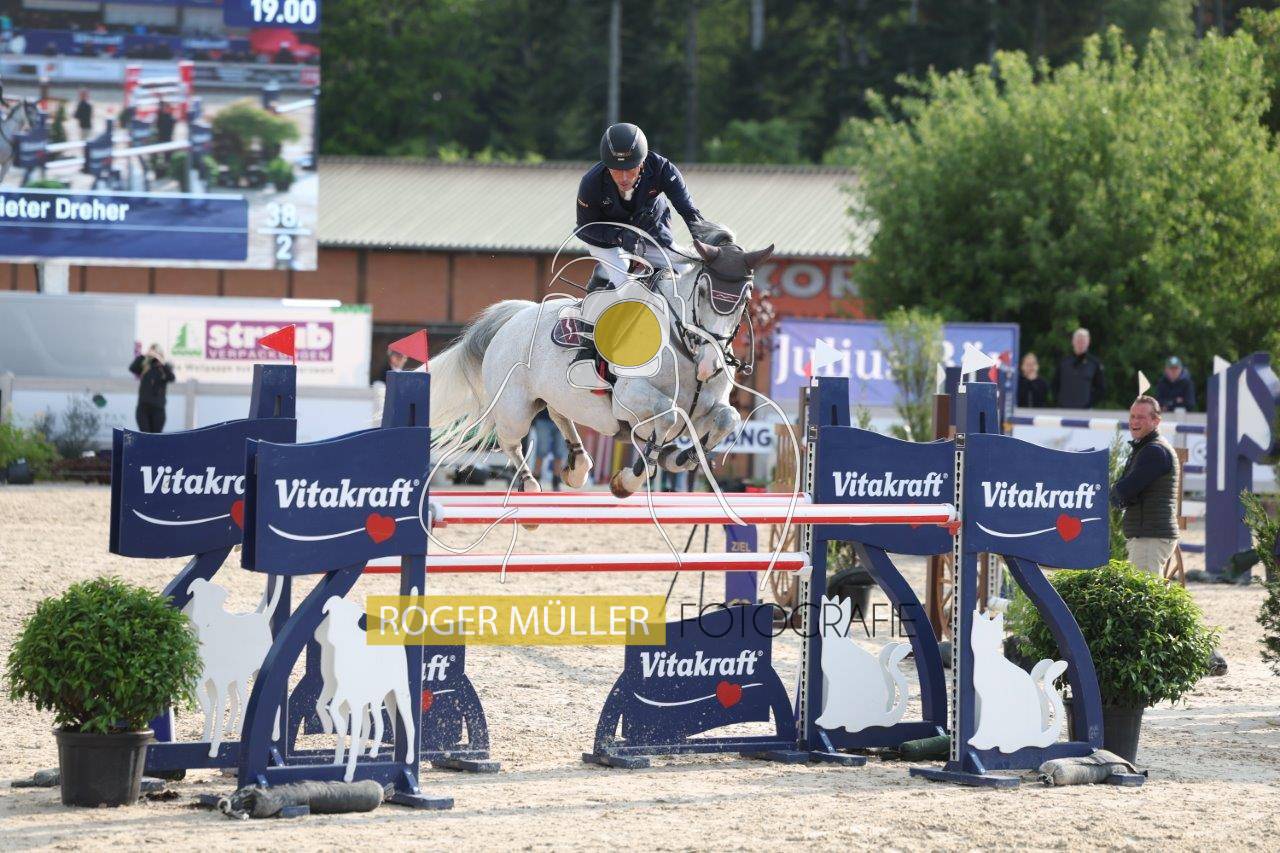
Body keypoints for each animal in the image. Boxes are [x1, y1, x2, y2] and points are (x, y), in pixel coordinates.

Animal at [429, 237, 773, 499]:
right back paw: (530, 482)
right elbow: (668, 416)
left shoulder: (707, 408)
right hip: (515, 408)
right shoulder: (628, 398)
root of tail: (516, 316)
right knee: (510, 441)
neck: (684, 349)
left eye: (746, 298)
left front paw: (682, 455)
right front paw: (632, 478)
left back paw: (578, 466)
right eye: (701, 293)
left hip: (552, 396)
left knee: (559, 415)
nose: (710, 365)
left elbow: (728, 418)